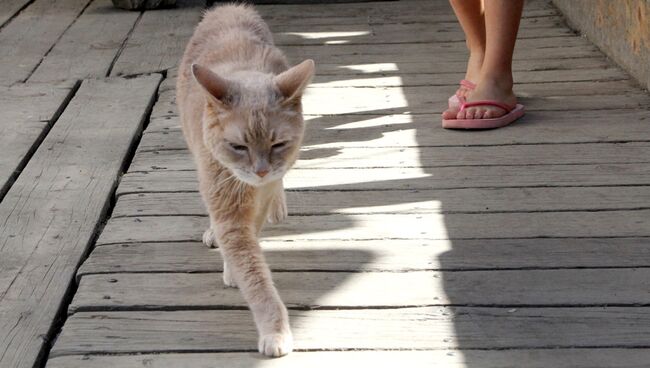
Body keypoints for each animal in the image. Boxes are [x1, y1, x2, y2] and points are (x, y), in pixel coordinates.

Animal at [175, 2, 312, 356]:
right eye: (239, 146)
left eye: (277, 144)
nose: (261, 170)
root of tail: (229, 8)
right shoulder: (228, 212)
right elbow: (253, 273)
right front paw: (275, 330)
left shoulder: (260, 198)